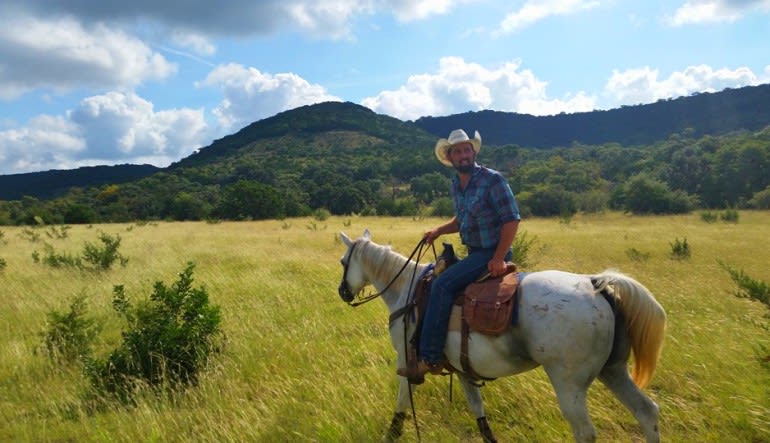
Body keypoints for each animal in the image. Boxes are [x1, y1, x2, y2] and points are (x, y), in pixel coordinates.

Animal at [338, 231, 664, 442]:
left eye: (343, 262)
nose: (343, 292)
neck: (408, 288)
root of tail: (597, 284)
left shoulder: (406, 360)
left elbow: (402, 401)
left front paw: (391, 434)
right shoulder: (462, 368)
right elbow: (477, 407)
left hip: (569, 385)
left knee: (585, 433)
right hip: (613, 370)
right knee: (647, 412)